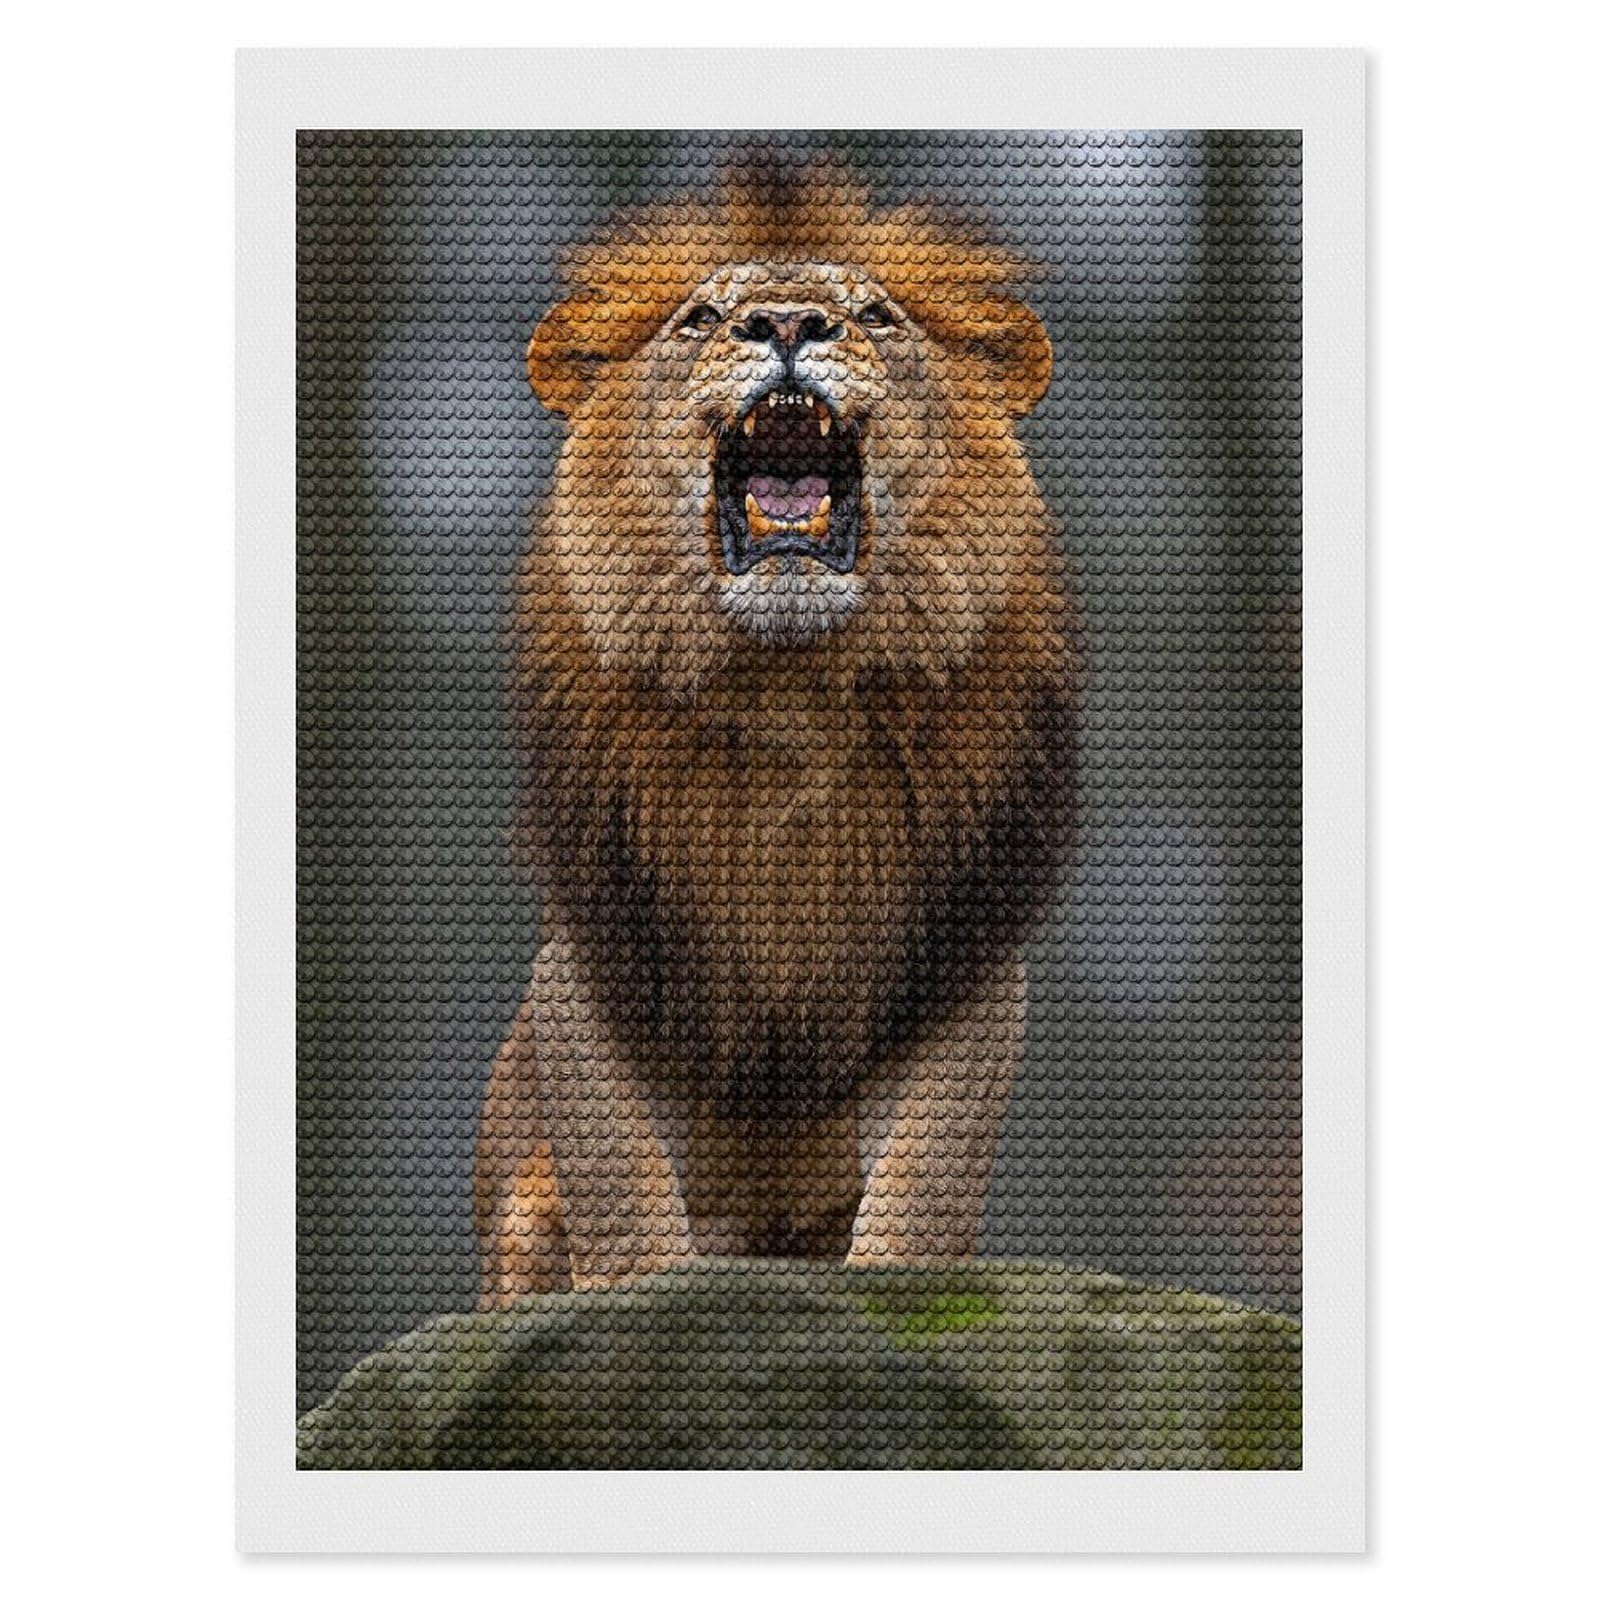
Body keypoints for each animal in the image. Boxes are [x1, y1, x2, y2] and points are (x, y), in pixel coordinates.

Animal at [475, 159, 1077, 1304]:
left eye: (875, 315)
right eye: (703, 318)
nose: (788, 322)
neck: (788, 688)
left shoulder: (959, 952)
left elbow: (928, 1170)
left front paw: (900, 1294)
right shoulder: (602, 949)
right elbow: (618, 1171)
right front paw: (639, 1299)